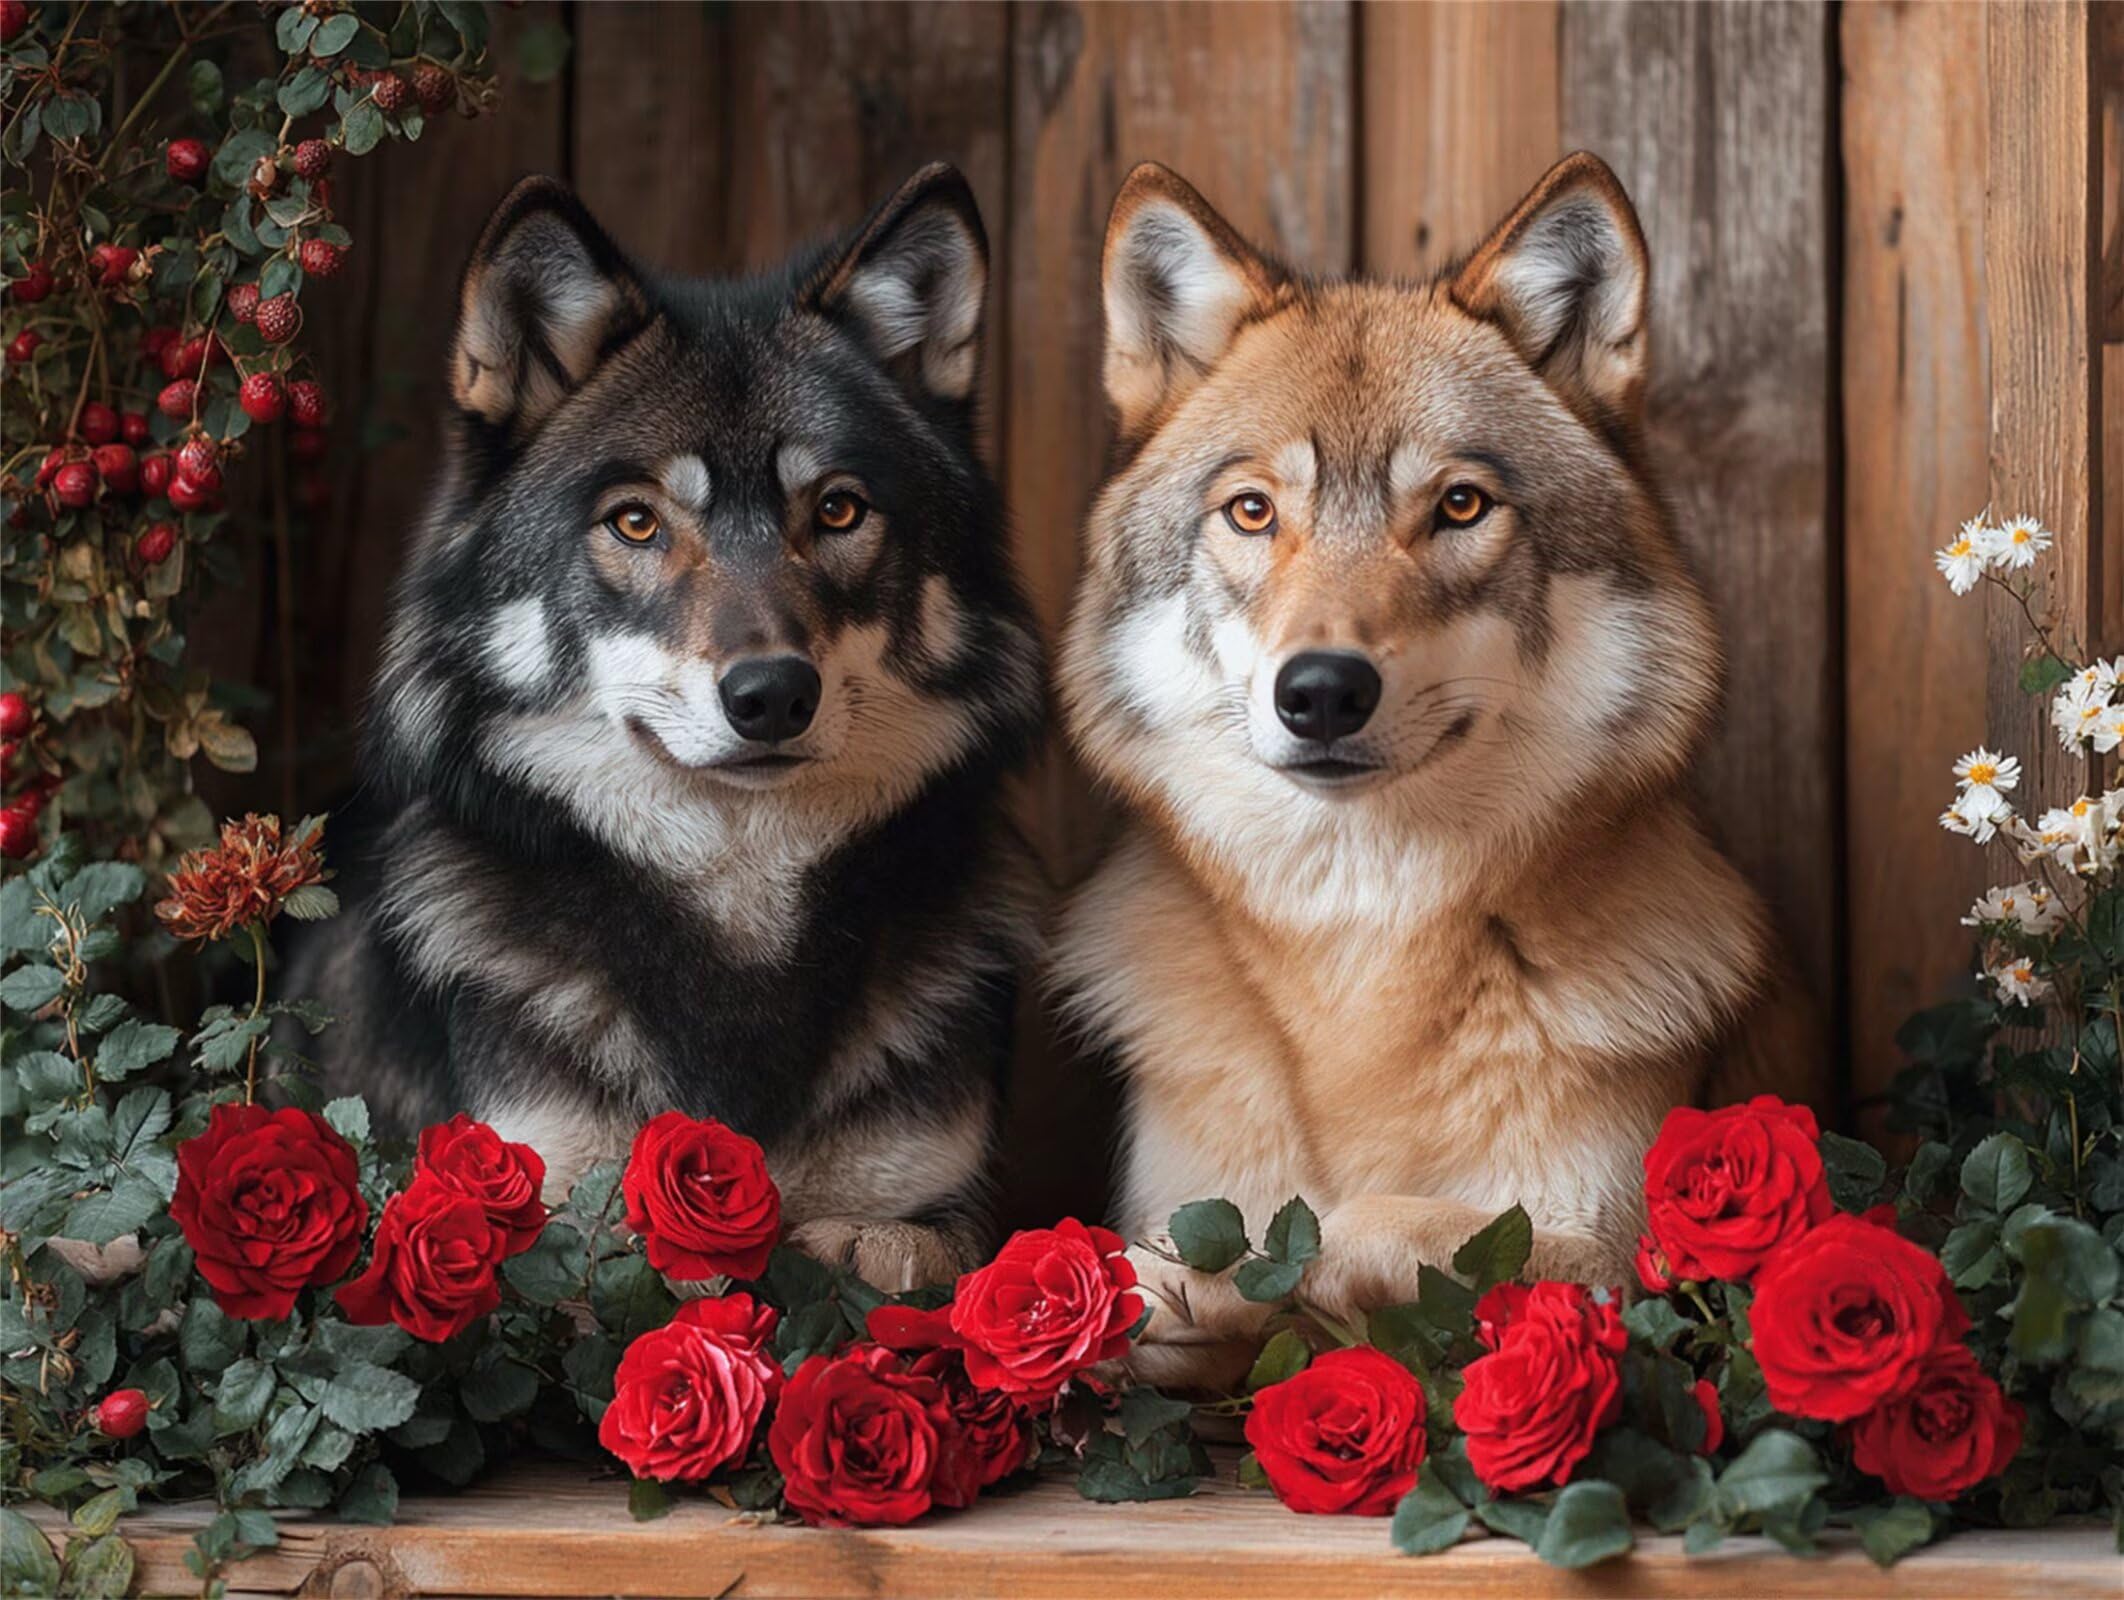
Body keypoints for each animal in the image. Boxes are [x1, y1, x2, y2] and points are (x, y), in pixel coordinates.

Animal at [295, 164, 1044, 1290]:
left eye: (838, 511)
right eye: (637, 522)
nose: (771, 694)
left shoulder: (937, 1193)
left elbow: (920, 1253)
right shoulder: (532, 1202)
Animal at [1054, 153, 1817, 1385]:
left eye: (1459, 504)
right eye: (1252, 511)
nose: (1321, 690)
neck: (1359, 964)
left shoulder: (1630, 1262)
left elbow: (1363, 1225)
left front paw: (1261, 1273)